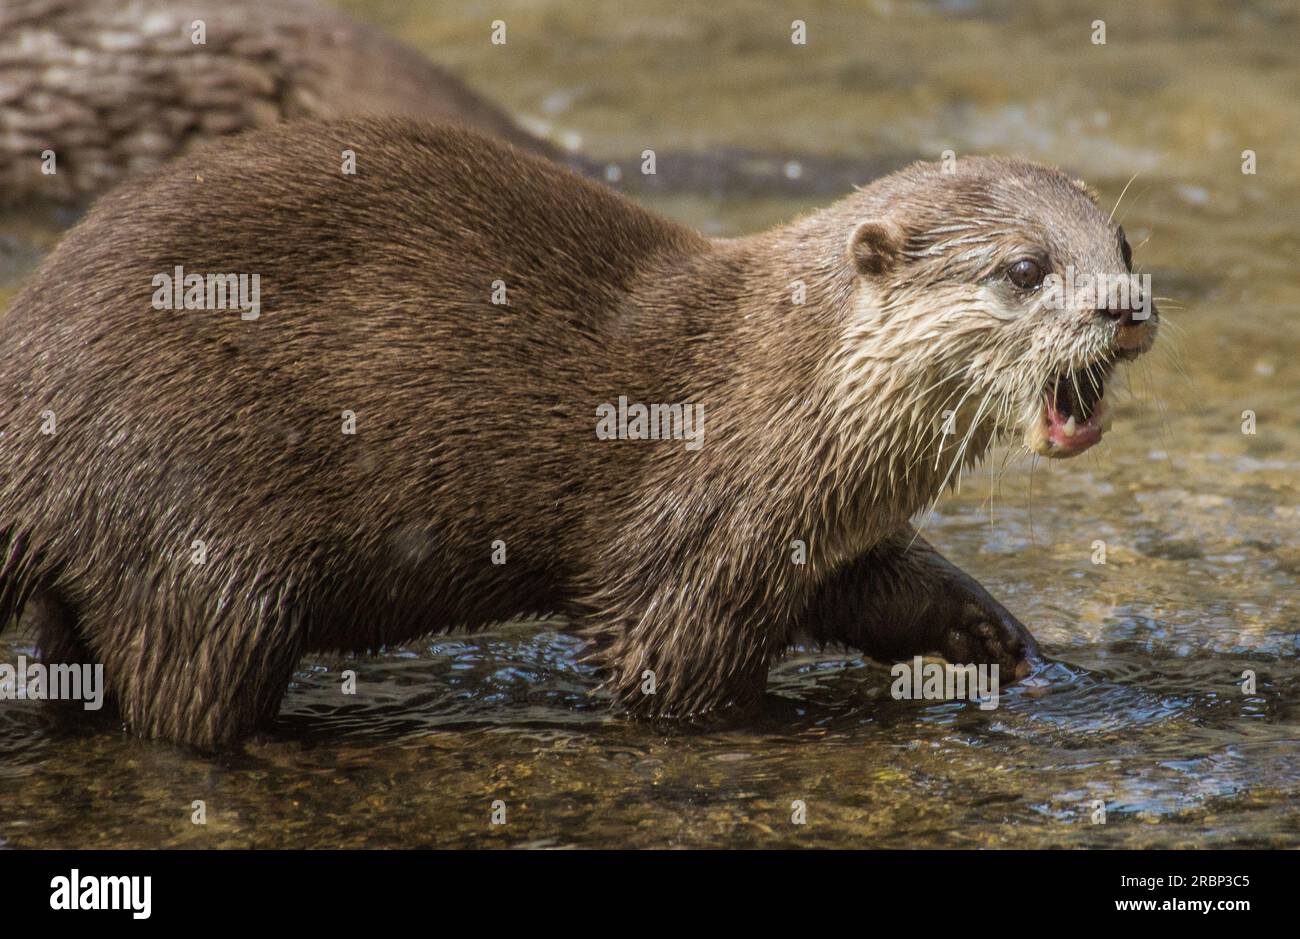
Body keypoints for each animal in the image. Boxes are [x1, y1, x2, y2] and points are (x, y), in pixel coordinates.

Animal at [0, 119, 1159, 743]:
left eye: (1123, 244)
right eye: (1024, 268)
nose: (1125, 307)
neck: (782, 387)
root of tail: (29, 386)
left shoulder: (825, 538)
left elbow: (896, 588)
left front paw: (993, 639)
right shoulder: (702, 539)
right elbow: (672, 676)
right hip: (197, 526)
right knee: (187, 691)